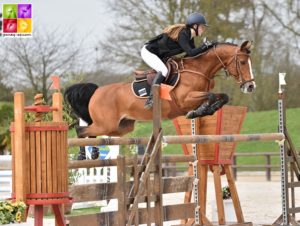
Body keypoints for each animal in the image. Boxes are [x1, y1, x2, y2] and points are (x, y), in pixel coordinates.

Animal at [65, 40, 255, 138]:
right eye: (242, 62)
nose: (251, 86)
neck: (199, 69)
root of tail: (97, 92)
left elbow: (223, 96)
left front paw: (206, 110)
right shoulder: (185, 100)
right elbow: (210, 96)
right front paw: (198, 111)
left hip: (120, 128)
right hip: (105, 125)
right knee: (81, 131)